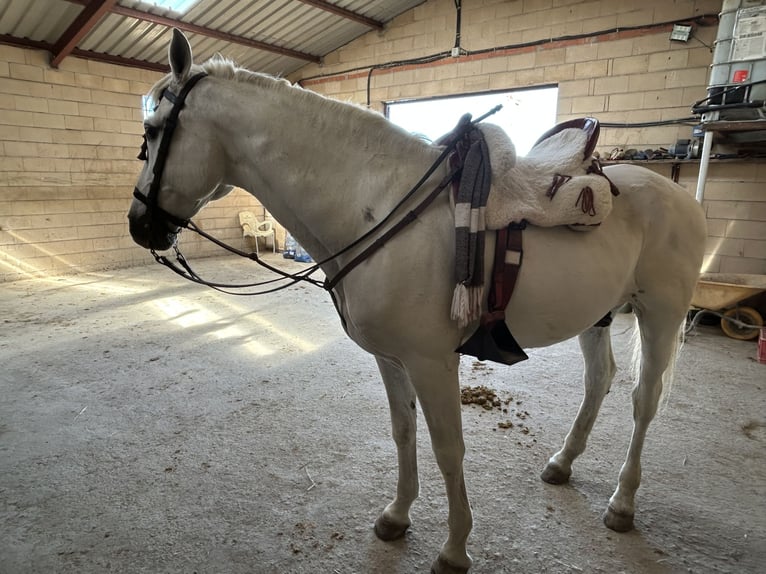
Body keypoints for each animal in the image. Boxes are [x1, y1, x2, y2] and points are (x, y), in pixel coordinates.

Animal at [127, 29, 707, 574]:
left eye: (152, 131)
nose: (139, 225)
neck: (377, 205)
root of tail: (676, 194)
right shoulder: (391, 359)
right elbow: (403, 433)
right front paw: (397, 516)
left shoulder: (432, 362)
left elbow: (448, 449)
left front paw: (454, 549)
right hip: (597, 315)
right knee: (599, 380)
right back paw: (563, 463)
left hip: (660, 315)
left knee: (644, 400)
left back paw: (623, 503)